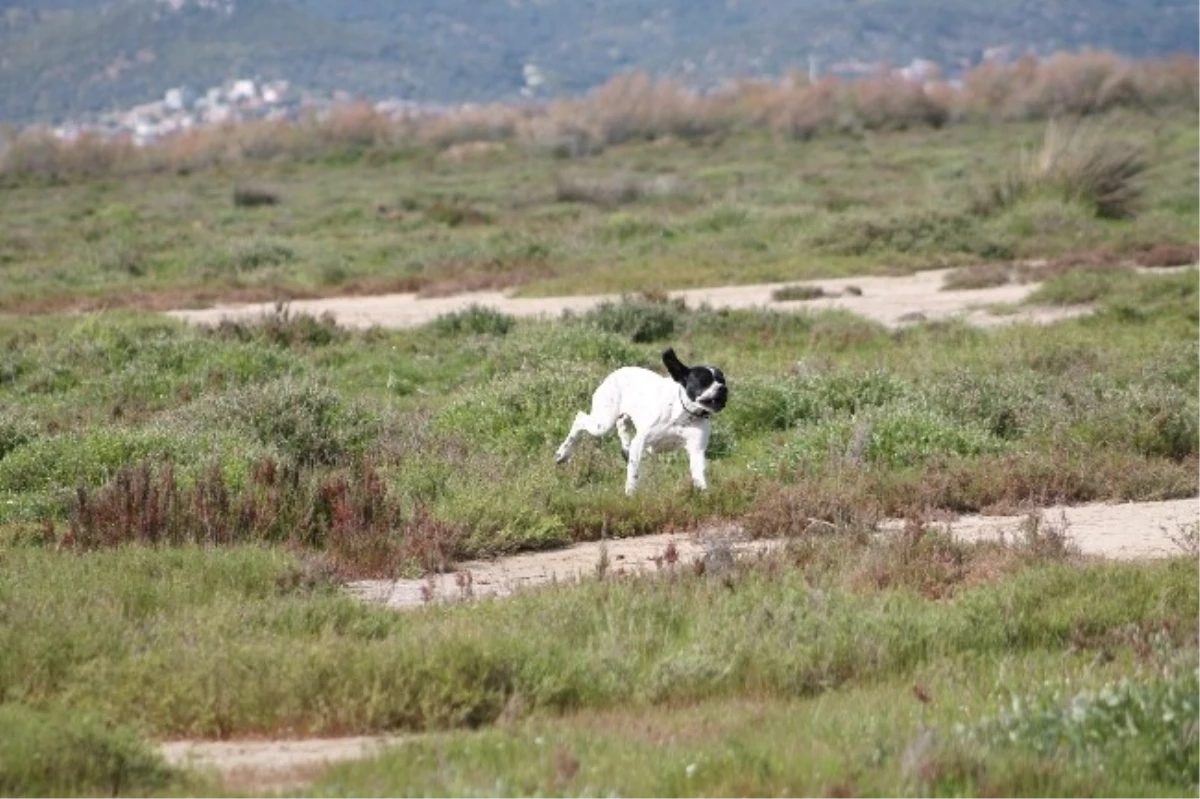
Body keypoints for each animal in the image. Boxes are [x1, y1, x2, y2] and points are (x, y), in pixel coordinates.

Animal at [554, 347, 729, 491]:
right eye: (704, 380)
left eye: (722, 380)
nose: (723, 388)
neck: (683, 414)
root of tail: (616, 373)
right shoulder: (640, 443)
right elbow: (633, 474)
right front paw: (630, 494)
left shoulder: (696, 450)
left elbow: (699, 477)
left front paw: (703, 495)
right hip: (602, 423)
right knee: (580, 418)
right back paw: (563, 453)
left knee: (622, 432)